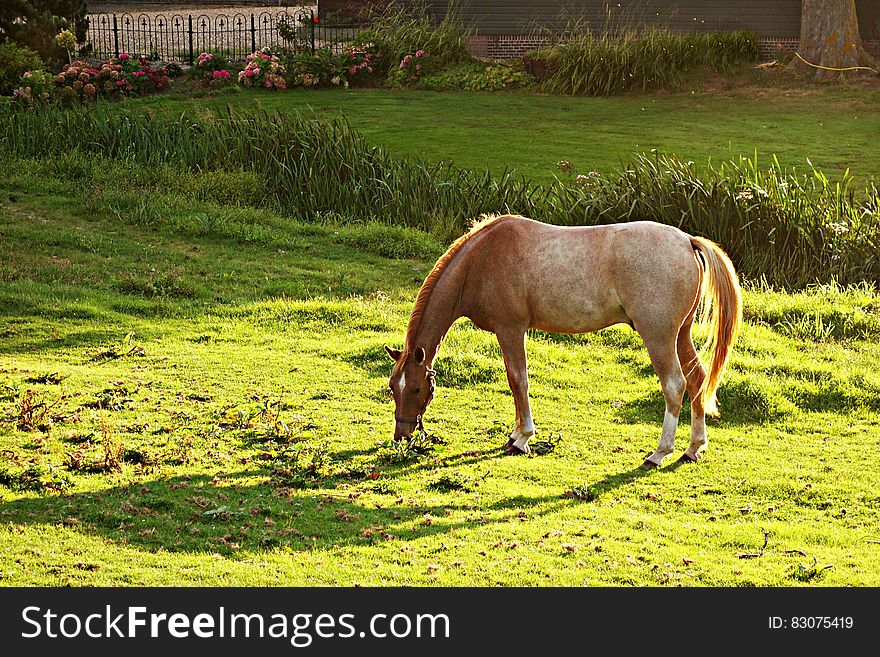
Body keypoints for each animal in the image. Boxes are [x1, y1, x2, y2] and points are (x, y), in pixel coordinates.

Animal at [388, 215, 740, 466]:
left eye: (417, 388)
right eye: (394, 387)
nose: (402, 434)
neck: (481, 260)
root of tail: (687, 241)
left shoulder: (510, 329)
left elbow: (518, 380)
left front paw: (522, 438)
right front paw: (516, 434)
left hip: (659, 337)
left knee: (674, 386)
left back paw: (660, 452)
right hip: (680, 334)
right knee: (697, 380)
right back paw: (693, 448)